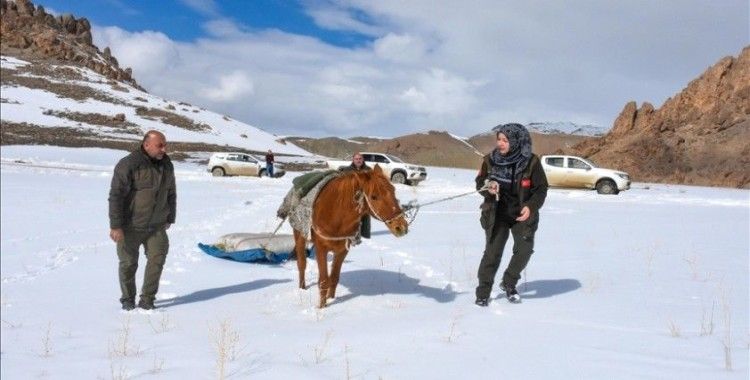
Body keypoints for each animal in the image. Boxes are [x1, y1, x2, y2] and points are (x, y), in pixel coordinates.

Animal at [294, 165, 412, 308]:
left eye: (393, 190)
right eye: (374, 196)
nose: (401, 227)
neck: (336, 215)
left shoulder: (342, 251)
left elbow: (334, 278)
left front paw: (331, 299)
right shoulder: (321, 249)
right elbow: (323, 281)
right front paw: (322, 307)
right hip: (299, 236)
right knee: (302, 263)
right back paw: (302, 288)